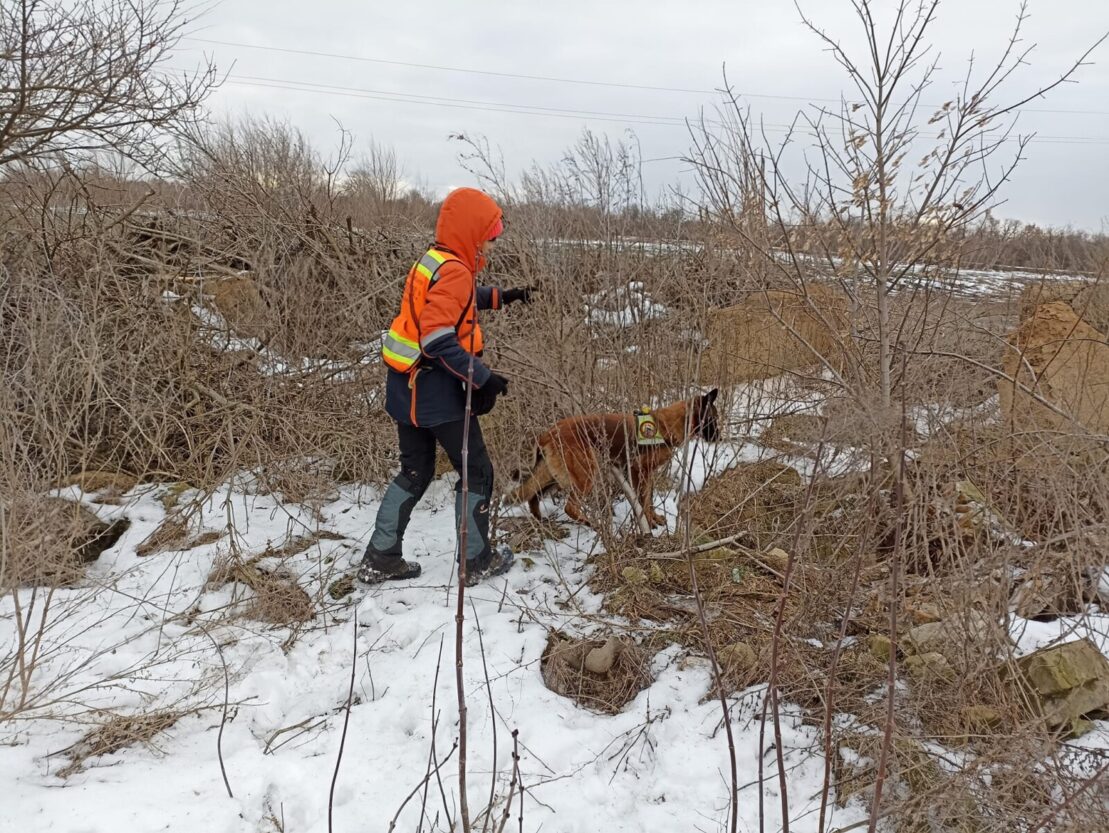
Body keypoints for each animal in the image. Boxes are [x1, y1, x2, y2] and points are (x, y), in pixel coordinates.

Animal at [507, 390, 723, 527]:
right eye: (714, 419)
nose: (720, 438)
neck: (665, 426)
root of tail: (549, 432)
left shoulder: (647, 475)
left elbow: (649, 498)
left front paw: (653, 518)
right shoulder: (638, 471)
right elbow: (644, 500)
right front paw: (648, 521)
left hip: (554, 476)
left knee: (532, 496)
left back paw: (540, 521)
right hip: (585, 475)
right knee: (569, 506)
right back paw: (589, 522)